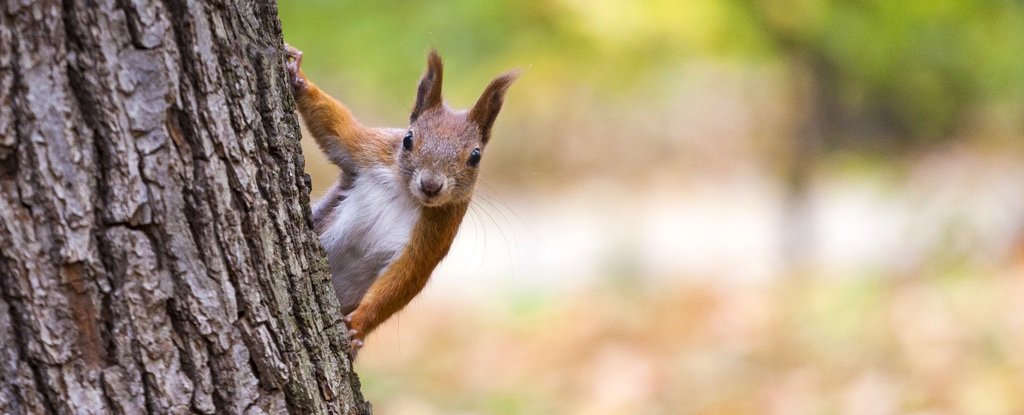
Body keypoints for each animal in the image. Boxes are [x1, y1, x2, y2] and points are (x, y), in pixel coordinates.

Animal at [282, 44, 516, 356]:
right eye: (408, 139)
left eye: (475, 157)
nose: (431, 185)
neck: (405, 193)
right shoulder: (369, 149)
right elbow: (337, 128)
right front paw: (298, 76)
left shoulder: (437, 232)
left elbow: (406, 276)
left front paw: (359, 326)